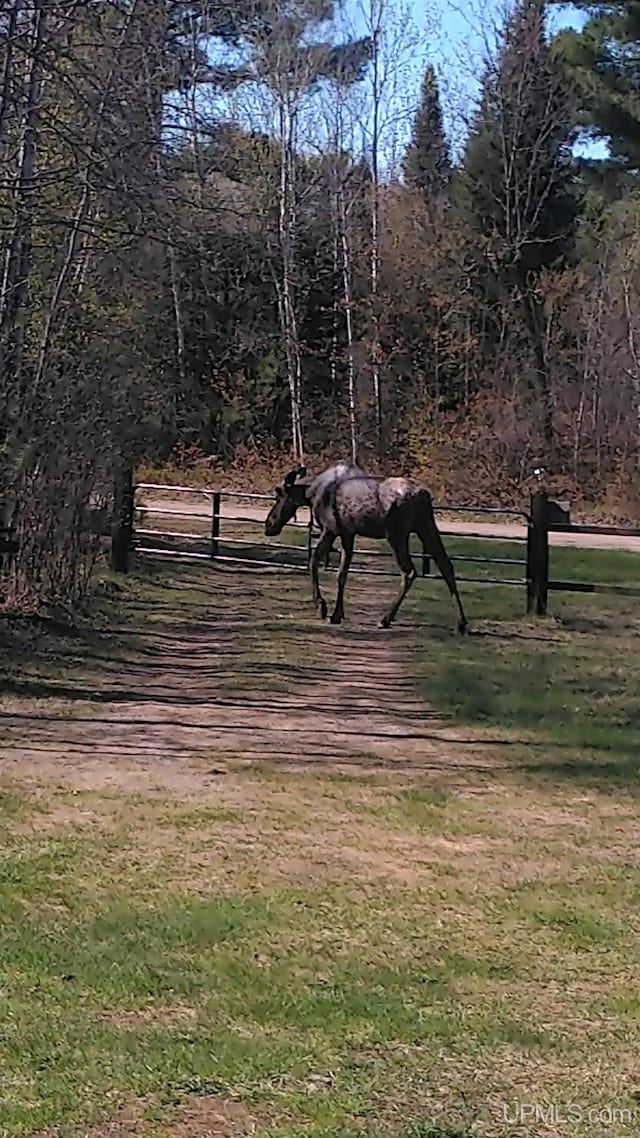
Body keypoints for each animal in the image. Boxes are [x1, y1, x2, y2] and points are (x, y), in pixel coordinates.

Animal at [261, 464, 466, 641]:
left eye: (279, 495)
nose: (268, 524)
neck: (310, 493)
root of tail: (423, 495)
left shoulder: (330, 529)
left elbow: (313, 561)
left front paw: (321, 606)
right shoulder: (347, 533)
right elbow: (342, 573)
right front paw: (337, 613)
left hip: (397, 534)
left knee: (409, 571)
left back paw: (385, 619)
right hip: (426, 527)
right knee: (446, 565)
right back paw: (461, 623)